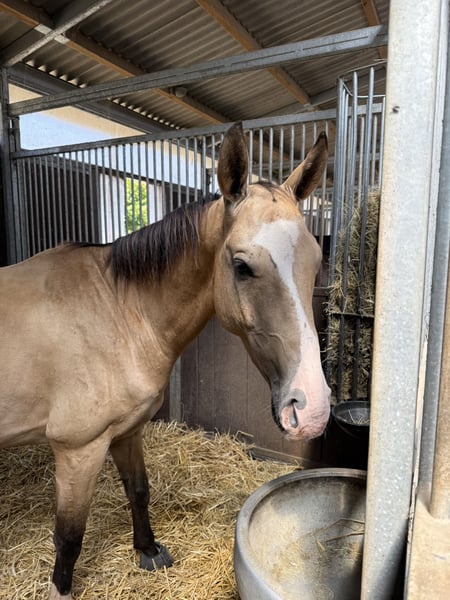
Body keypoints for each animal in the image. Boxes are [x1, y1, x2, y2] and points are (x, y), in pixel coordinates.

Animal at [0, 122, 330, 599]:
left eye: (316, 260)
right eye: (242, 266)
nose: (312, 408)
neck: (117, 310)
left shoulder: (127, 431)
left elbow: (138, 490)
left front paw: (149, 551)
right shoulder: (78, 449)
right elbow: (69, 534)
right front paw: (60, 589)